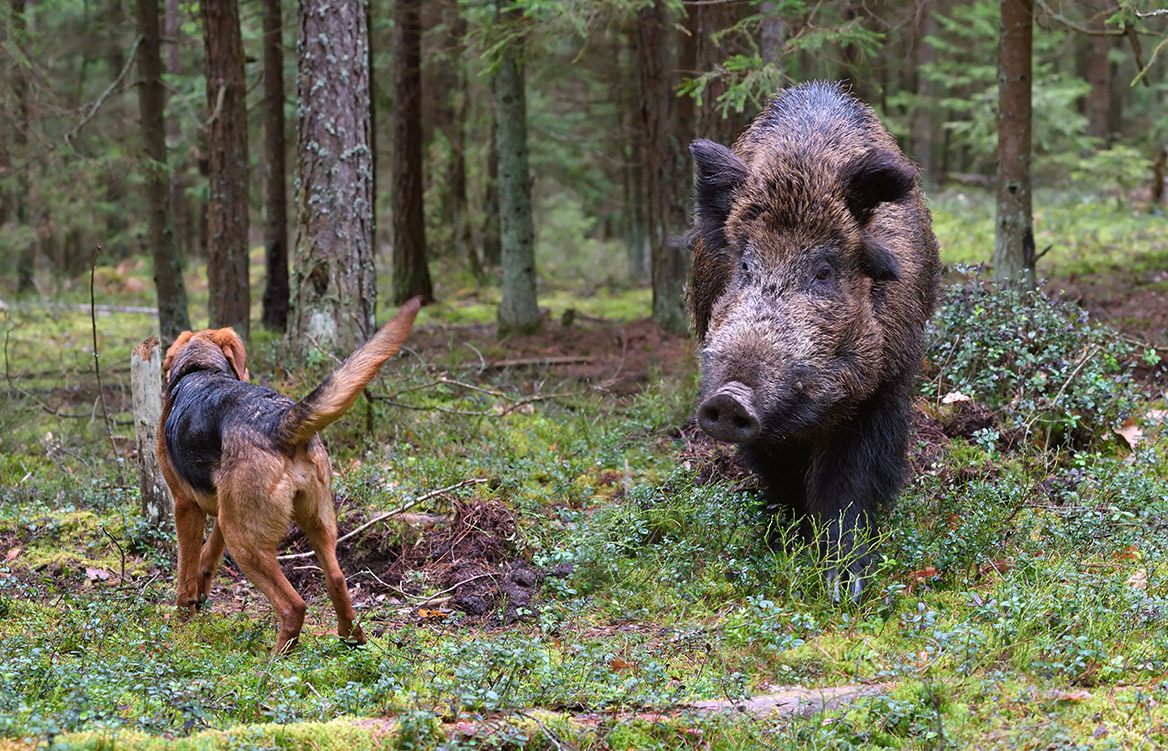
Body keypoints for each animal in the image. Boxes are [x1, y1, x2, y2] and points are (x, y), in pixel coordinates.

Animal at [157, 298, 422, 654]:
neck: (200, 368)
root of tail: (279, 420)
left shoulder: (185, 506)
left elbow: (185, 569)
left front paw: (183, 621)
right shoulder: (224, 510)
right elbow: (207, 556)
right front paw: (201, 590)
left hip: (245, 542)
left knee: (293, 604)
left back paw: (275, 660)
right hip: (312, 522)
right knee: (336, 580)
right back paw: (351, 641)